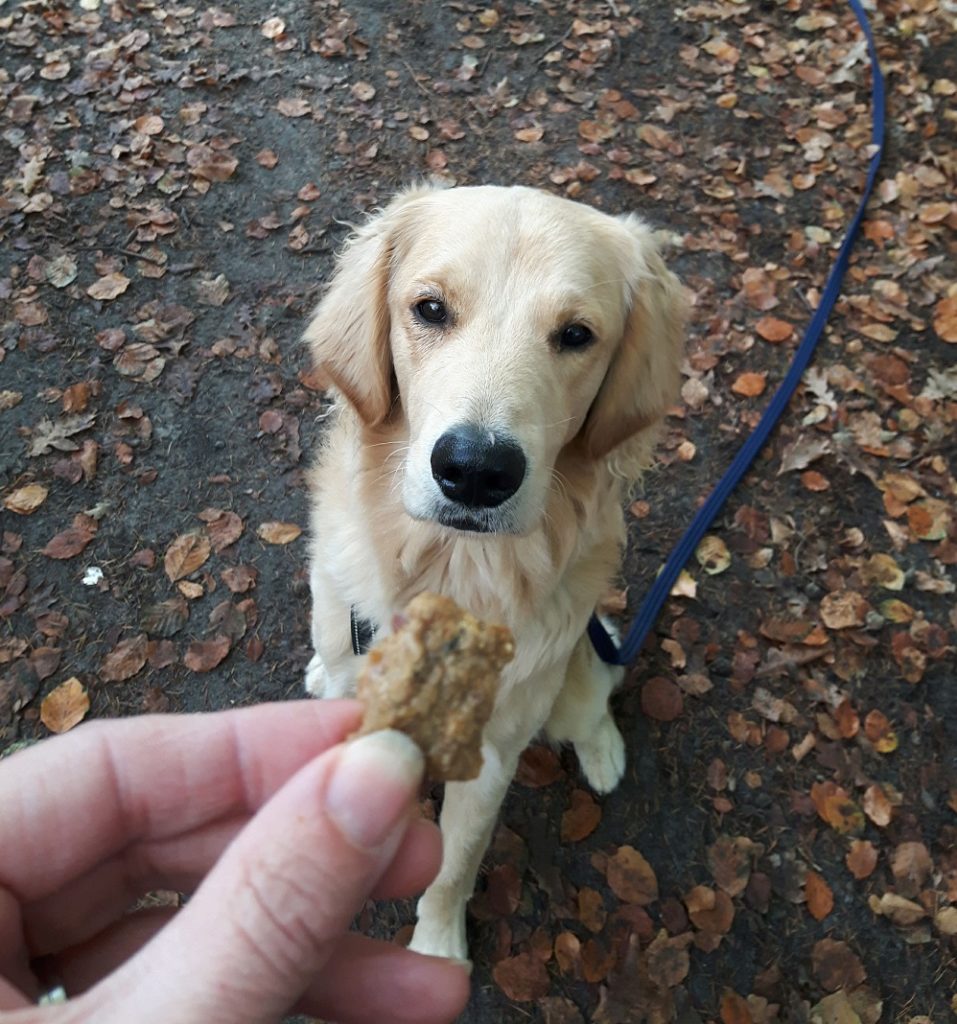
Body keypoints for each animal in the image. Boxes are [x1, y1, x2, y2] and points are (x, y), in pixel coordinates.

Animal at [302, 184, 683, 958]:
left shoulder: (490, 755)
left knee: (595, 698)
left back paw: (603, 752)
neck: (452, 572)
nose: (476, 471)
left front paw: (436, 949)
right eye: (429, 309)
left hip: (573, 673)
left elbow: (453, 865)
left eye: (576, 334)